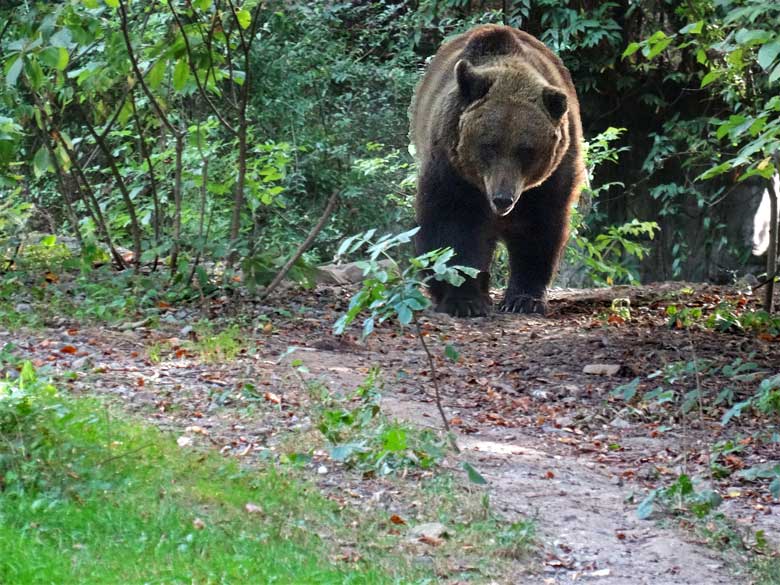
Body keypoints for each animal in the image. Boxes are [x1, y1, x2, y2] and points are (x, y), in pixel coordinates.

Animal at [412, 24, 580, 314]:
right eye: (488, 146)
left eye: (526, 150)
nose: (503, 198)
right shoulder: (451, 170)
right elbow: (452, 225)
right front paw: (463, 299)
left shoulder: (549, 180)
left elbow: (538, 229)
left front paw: (524, 299)